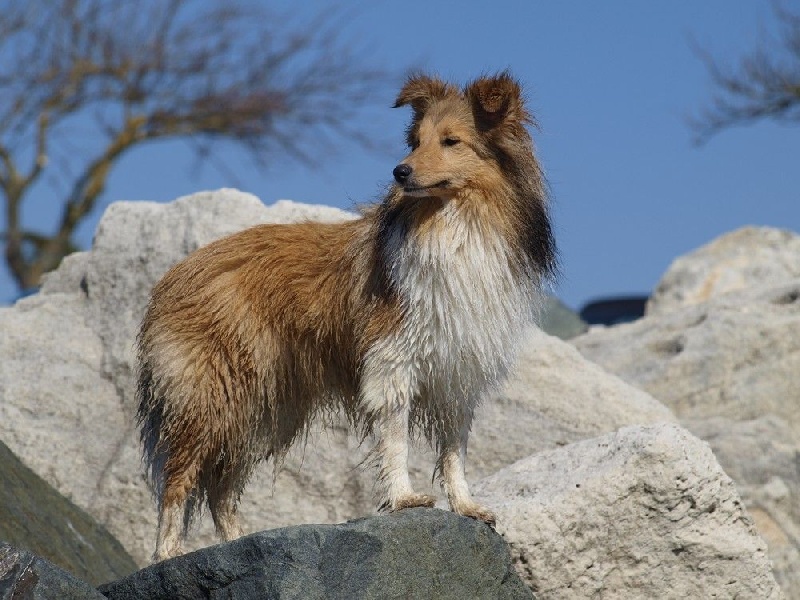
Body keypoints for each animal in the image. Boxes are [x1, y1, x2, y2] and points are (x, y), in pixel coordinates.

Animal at [136, 71, 556, 564]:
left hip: (267, 410)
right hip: (214, 396)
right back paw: (169, 552)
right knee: (179, 476)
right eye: (415, 141)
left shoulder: (459, 373)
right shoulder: (394, 359)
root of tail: (173, 275)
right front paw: (405, 498)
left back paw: (238, 542)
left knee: (222, 485)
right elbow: (396, 440)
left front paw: (467, 506)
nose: (400, 171)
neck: (457, 224)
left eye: (452, 141)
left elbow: (454, 451)